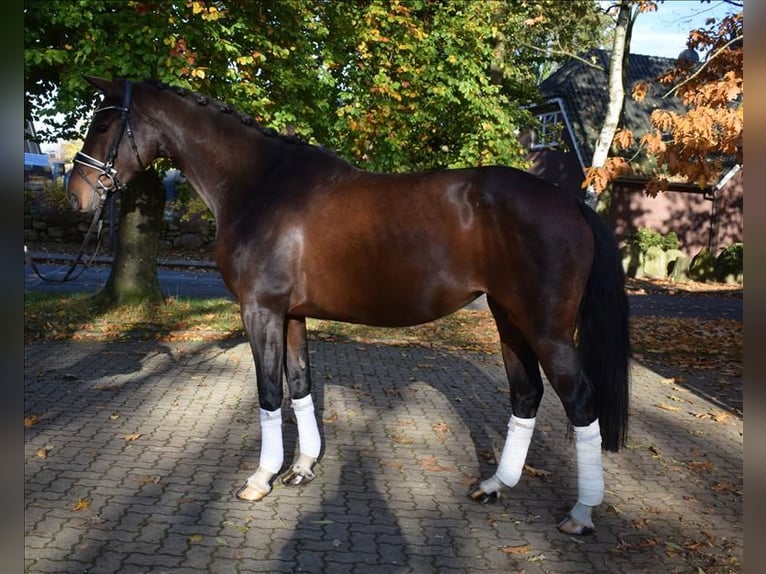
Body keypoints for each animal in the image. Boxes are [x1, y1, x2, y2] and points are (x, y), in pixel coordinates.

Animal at [67, 76, 632, 536]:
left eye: (104, 122)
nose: (76, 196)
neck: (259, 186)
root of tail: (570, 203)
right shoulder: (291, 314)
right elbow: (299, 385)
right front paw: (301, 469)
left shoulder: (260, 310)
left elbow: (268, 392)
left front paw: (261, 477)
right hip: (508, 317)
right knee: (526, 394)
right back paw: (494, 485)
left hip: (546, 329)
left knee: (581, 402)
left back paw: (581, 513)